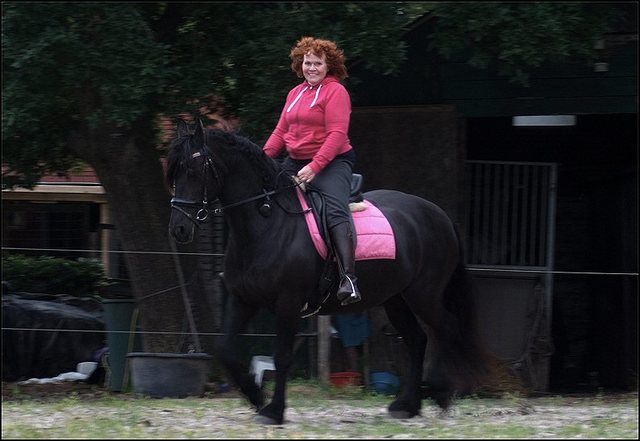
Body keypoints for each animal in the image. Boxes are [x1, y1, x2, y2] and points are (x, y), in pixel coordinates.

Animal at [166, 119, 490, 422]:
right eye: (174, 173)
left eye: (193, 170)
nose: (178, 228)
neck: (268, 223)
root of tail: (438, 214)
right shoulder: (242, 299)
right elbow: (226, 349)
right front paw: (256, 396)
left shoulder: (288, 303)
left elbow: (282, 357)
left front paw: (274, 410)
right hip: (395, 299)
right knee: (417, 339)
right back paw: (406, 405)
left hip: (424, 294)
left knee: (445, 329)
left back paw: (440, 392)